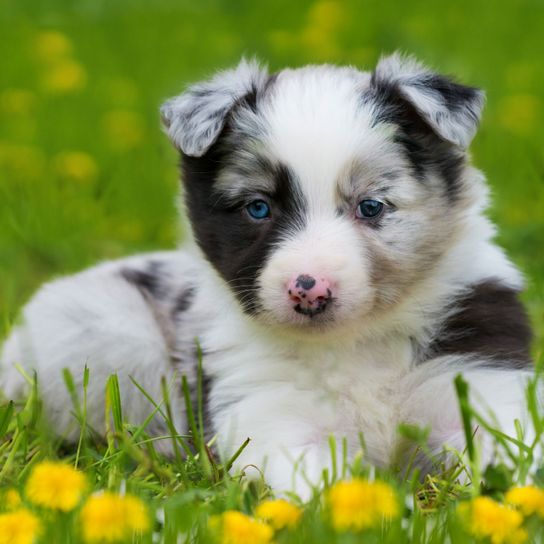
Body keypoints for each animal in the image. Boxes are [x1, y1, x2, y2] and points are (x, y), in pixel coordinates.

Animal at [1, 54, 536, 498]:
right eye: (258, 207)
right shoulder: (269, 415)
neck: (355, 343)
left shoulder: (477, 385)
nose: (309, 290)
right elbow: (314, 485)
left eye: (371, 206)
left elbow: (503, 465)